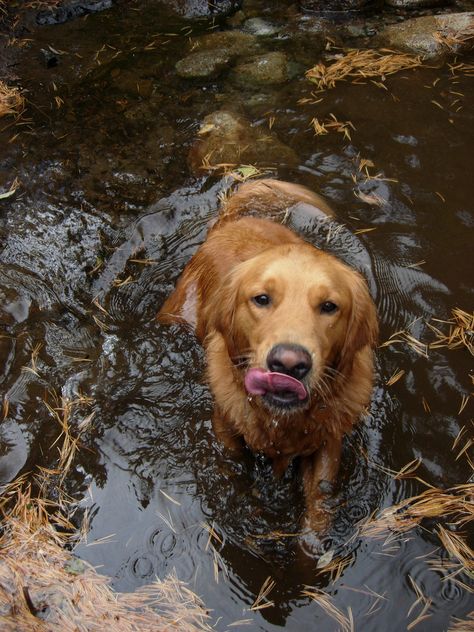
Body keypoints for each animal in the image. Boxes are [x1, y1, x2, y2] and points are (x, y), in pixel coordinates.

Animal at [159, 179, 378, 532]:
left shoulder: (328, 443)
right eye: (261, 299)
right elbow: (234, 467)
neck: (281, 423)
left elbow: (320, 505)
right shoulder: (225, 425)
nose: (288, 364)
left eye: (329, 306)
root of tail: (233, 222)